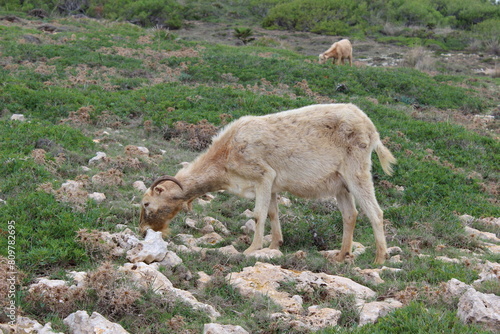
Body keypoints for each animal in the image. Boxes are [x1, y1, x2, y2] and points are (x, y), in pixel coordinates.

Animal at [142, 103, 398, 264]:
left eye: (146, 204)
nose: (144, 231)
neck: (226, 153)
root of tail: (371, 129)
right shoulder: (272, 186)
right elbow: (273, 213)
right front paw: (274, 246)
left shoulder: (262, 176)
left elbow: (258, 214)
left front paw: (252, 249)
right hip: (340, 184)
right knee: (350, 214)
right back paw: (341, 256)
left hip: (357, 172)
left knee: (375, 212)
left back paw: (379, 259)